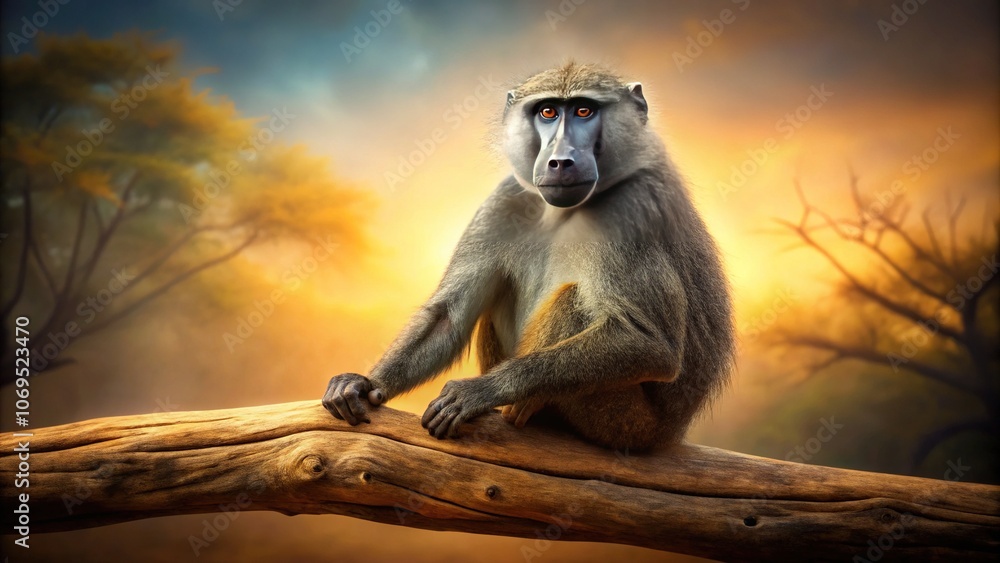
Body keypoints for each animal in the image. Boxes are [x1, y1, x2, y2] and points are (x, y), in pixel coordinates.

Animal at [322, 62, 735, 450]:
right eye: (548, 112)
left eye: (584, 110)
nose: (560, 162)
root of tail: (669, 434)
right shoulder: (506, 198)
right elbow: (448, 315)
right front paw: (365, 384)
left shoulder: (629, 209)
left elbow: (650, 343)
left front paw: (482, 391)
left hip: (629, 425)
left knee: (573, 301)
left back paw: (526, 407)